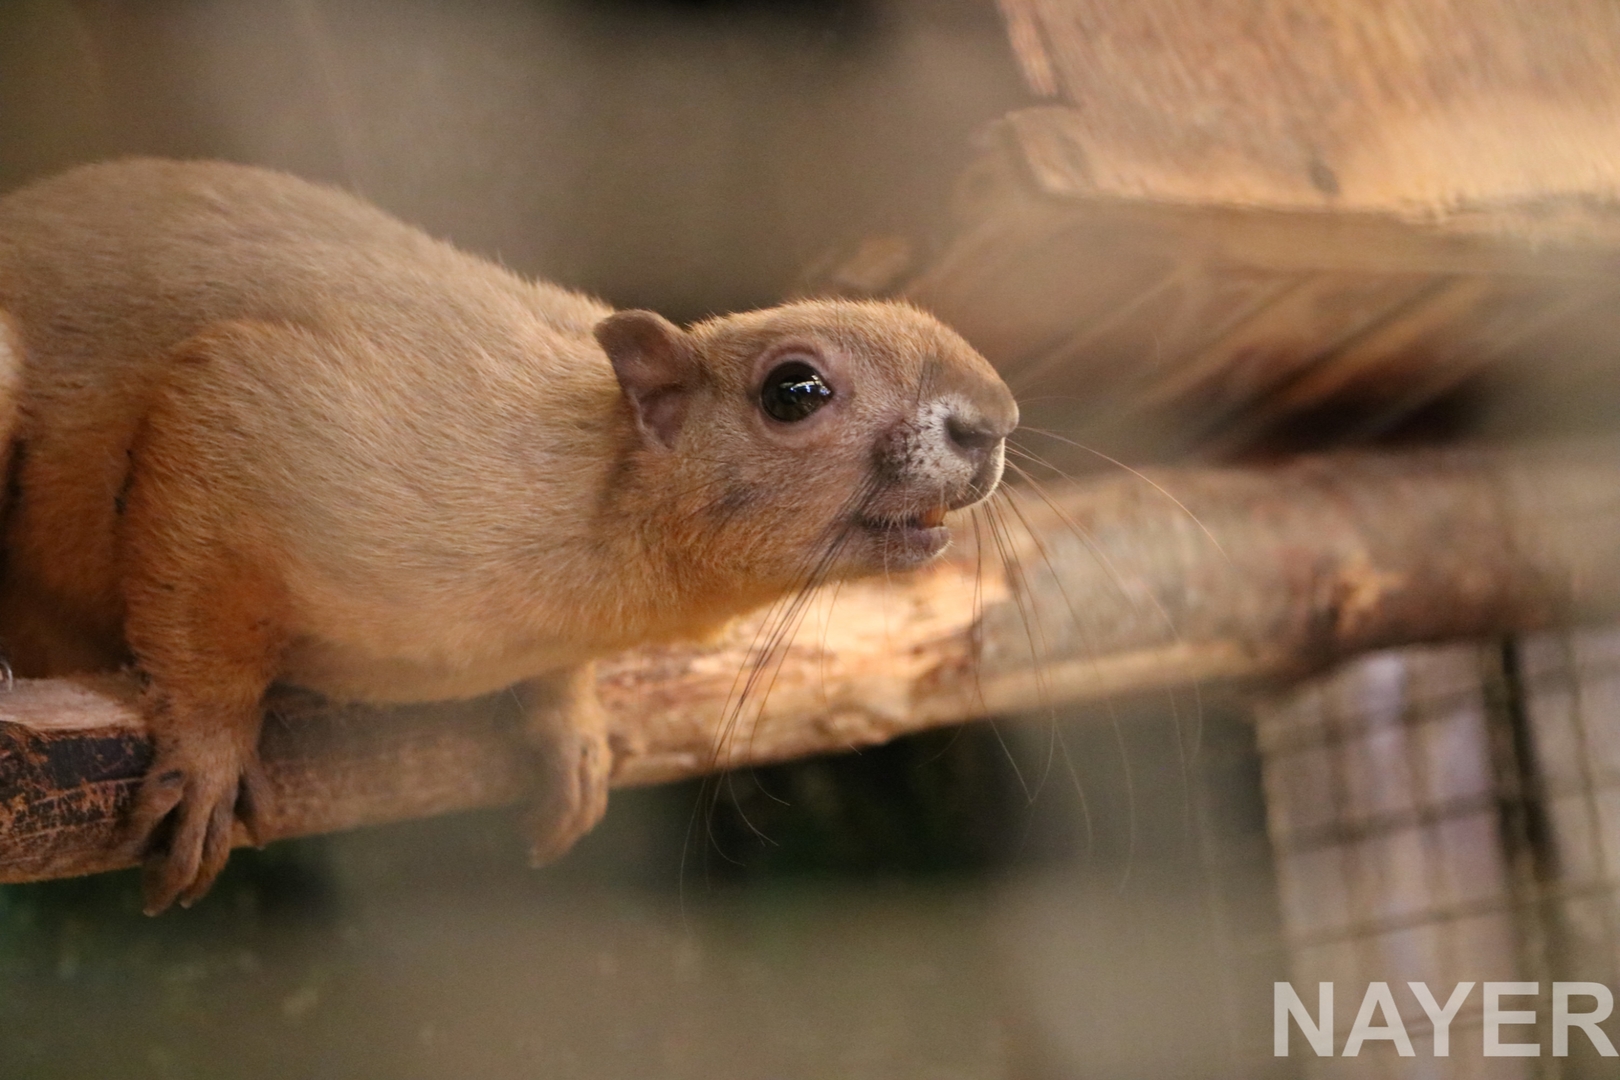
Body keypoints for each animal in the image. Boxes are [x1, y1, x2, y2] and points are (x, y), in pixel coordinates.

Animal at [0, 158, 1017, 914]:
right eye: (793, 392)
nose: (997, 419)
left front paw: (570, 723)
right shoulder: (270, 416)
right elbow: (203, 584)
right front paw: (209, 754)